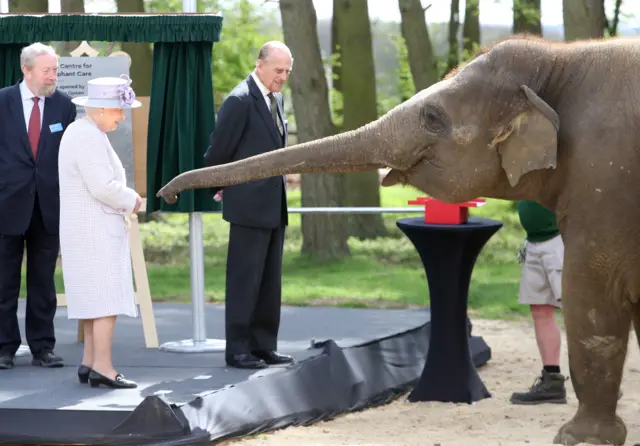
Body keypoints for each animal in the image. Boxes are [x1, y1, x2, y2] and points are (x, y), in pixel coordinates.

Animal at [156, 35, 640, 446]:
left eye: (432, 117)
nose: (167, 193)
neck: (562, 57)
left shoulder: (603, 180)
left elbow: (590, 294)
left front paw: (577, 439)